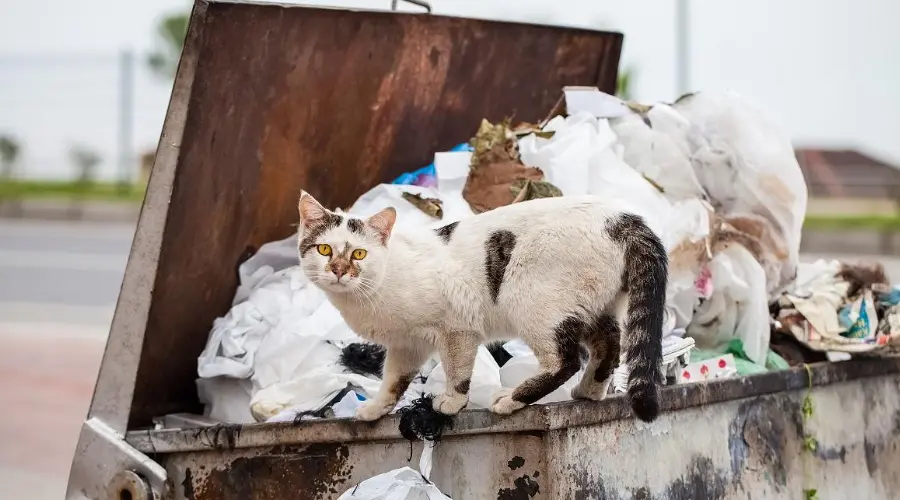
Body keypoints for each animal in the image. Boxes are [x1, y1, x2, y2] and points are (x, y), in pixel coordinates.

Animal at [298, 190, 668, 422]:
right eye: (324, 250)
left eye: (359, 253)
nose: (339, 270)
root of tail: (623, 219)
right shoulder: (407, 344)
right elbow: (393, 380)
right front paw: (376, 409)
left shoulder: (457, 328)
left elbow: (457, 372)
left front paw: (451, 403)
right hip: (592, 305)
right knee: (610, 345)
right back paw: (590, 391)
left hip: (532, 301)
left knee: (566, 361)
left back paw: (512, 399)